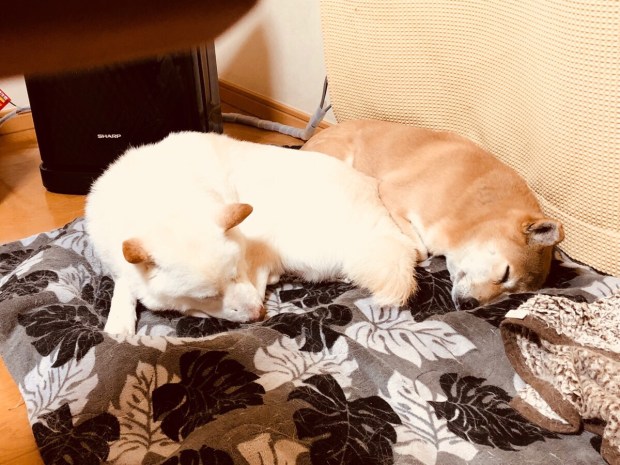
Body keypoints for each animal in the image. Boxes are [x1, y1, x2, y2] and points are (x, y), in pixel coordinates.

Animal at [85, 131, 419, 334]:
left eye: (236, 272)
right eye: (209, 295)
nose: (259, 315)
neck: (160, 196)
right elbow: (125, 281)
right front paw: (119, 320)